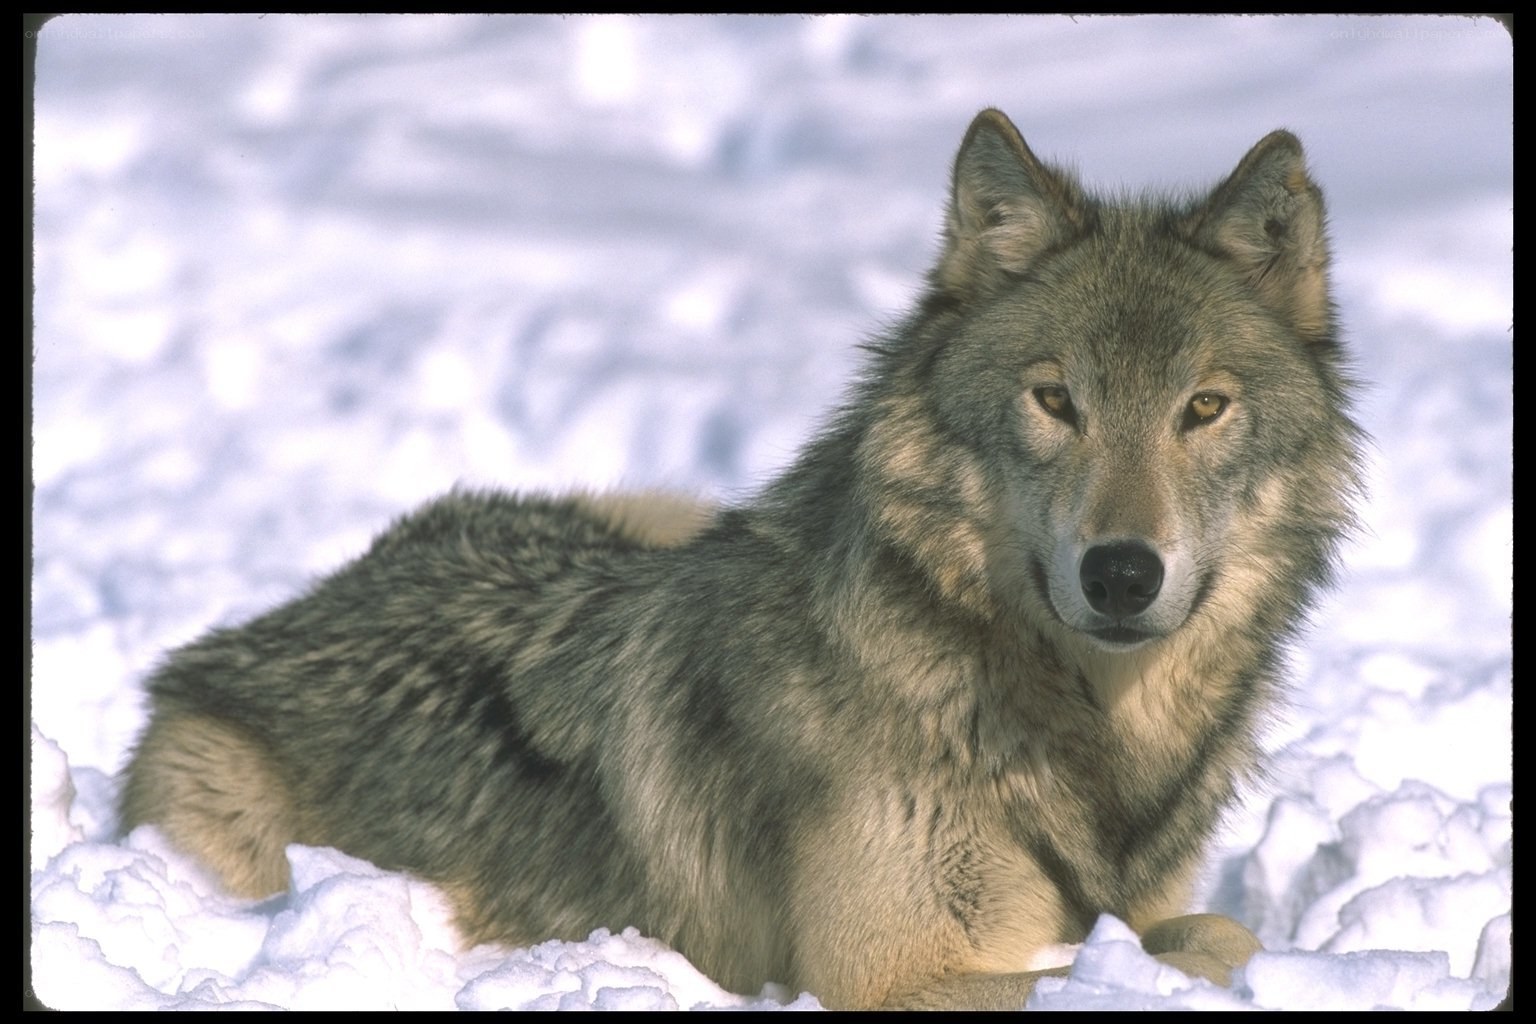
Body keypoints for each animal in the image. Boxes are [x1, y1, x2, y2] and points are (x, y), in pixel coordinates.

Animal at [120, 109, 1361, 1009]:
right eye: (1056, 400)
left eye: (1203, 407)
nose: (1121, 573)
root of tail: (275, 619)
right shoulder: (889, 976)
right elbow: (1203, 947)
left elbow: (1201, 923)